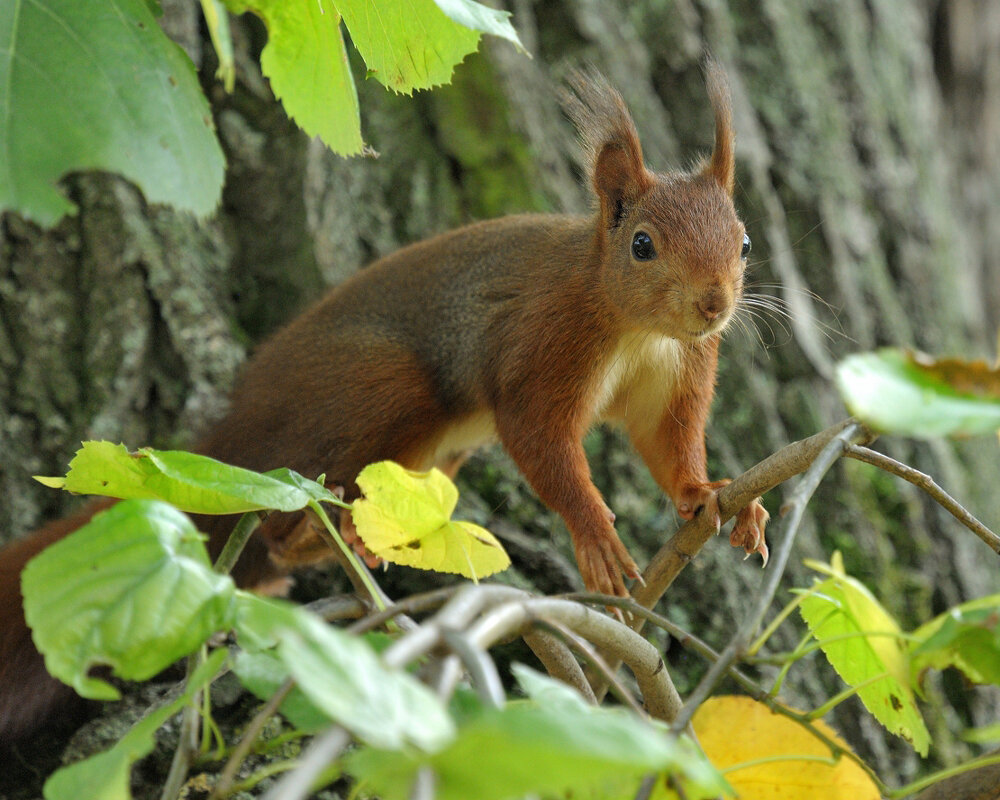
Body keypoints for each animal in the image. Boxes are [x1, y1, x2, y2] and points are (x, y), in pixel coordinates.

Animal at [0, 65, 764, 748]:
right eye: (642, 245)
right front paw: (597, 535)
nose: (714, 304)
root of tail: (236, 433)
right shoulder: (543, 345)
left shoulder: (680, 372)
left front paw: (711, 495)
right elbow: (538, 438)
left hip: (434, 454)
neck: (637, 329)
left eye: (745, 241)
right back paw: (331, 536)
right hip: (381, 390)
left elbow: (667, 442)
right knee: (292, 510)